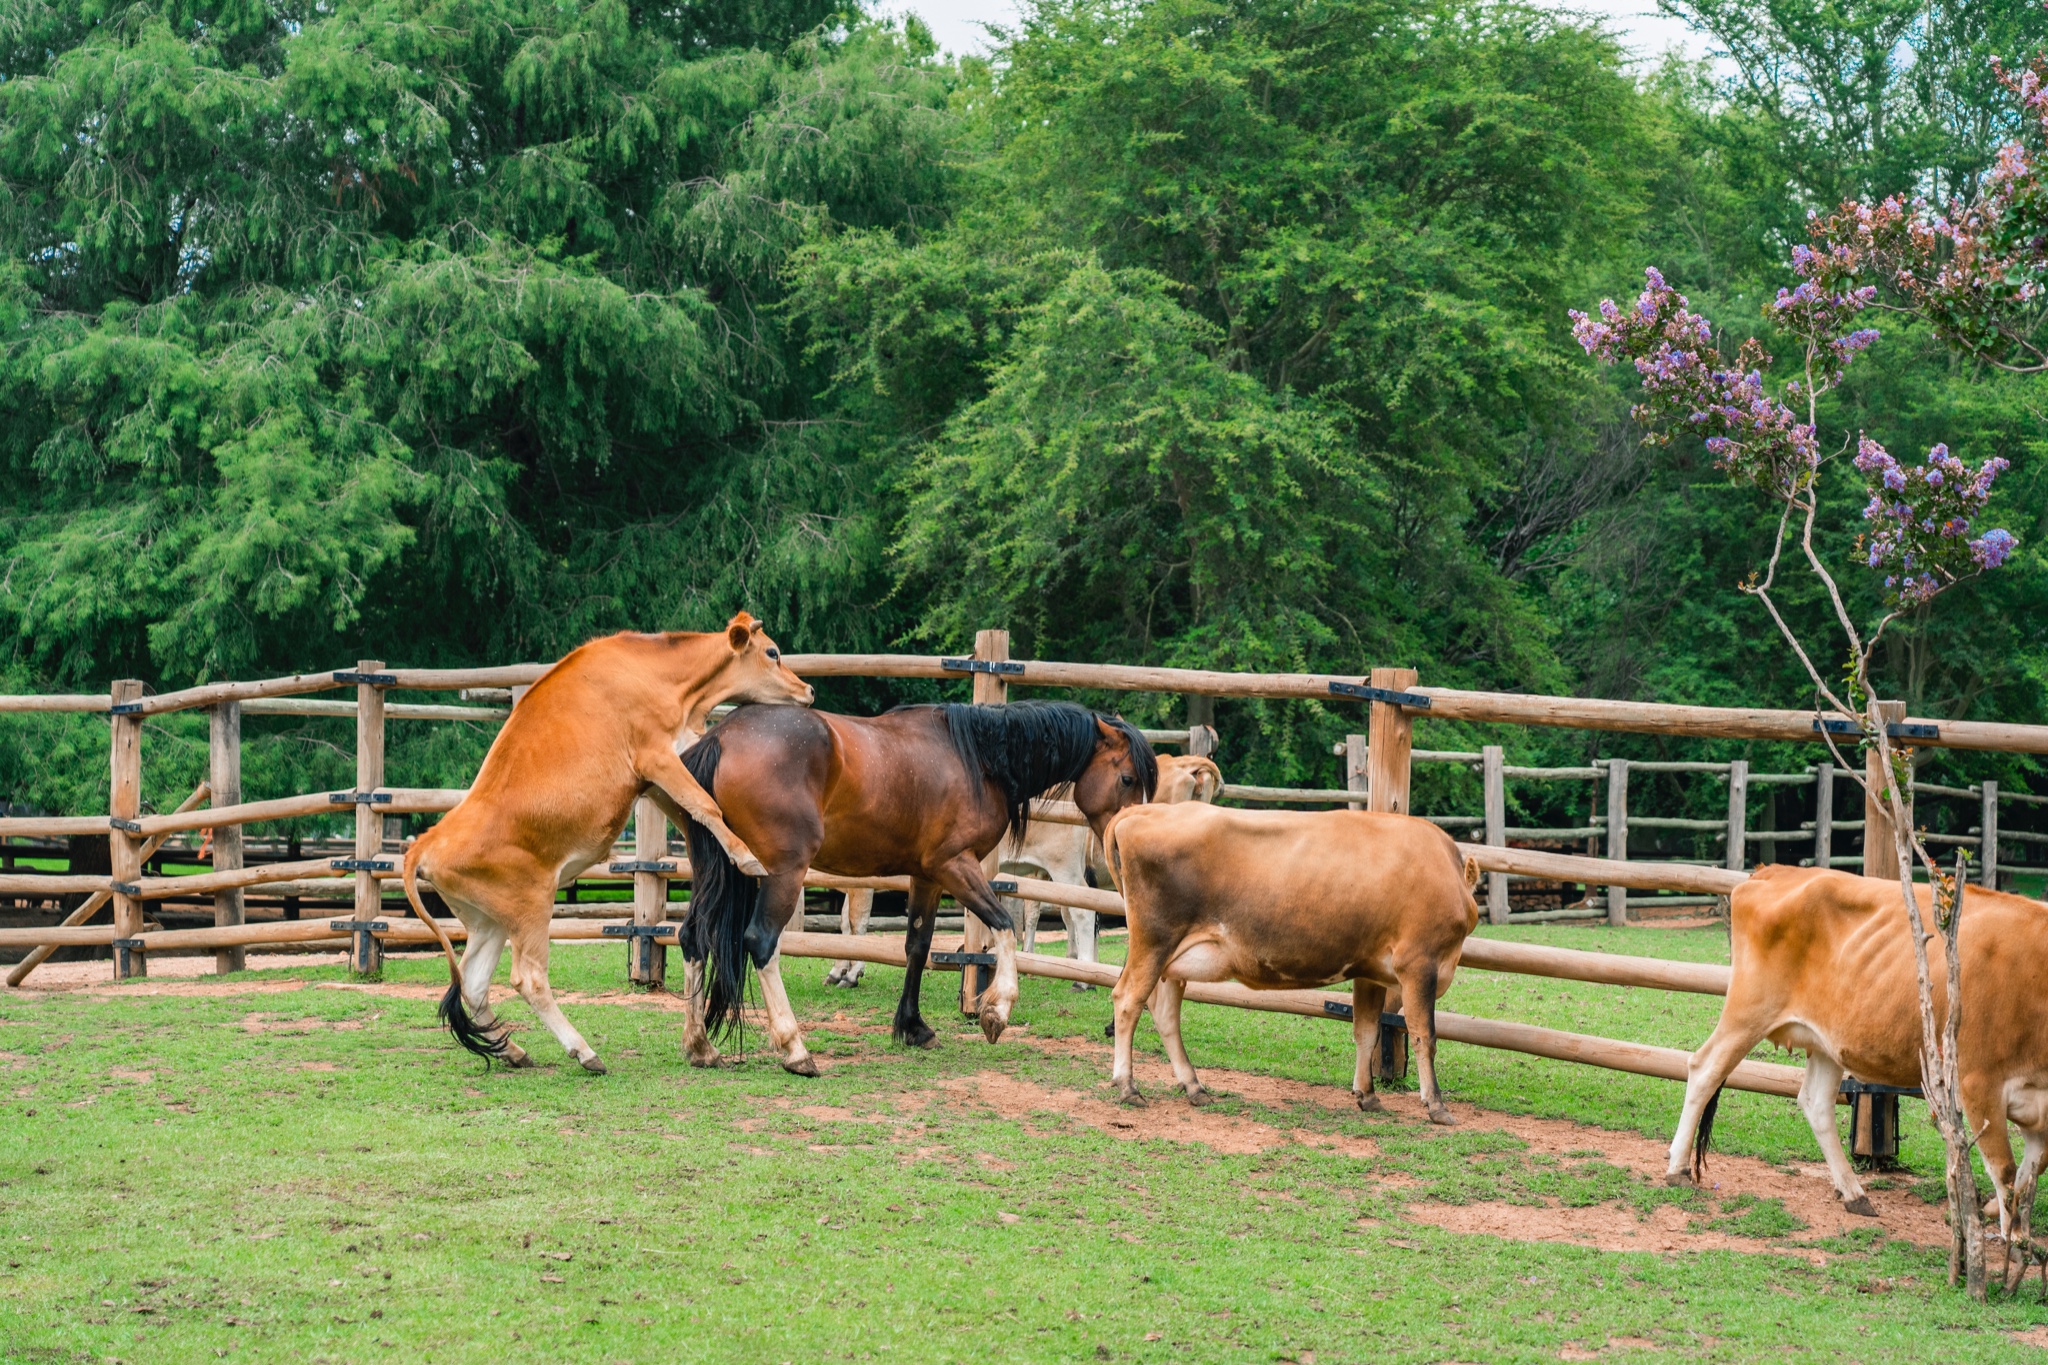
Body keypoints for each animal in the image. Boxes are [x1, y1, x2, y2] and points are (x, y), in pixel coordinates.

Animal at [399, 618, 815, 1080]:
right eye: (772, 652)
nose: (808, 689)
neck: (652, 670)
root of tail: (425, 843)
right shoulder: (655, 756)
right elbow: (705, 804)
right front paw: (745, 856)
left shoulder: (653, 777)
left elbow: (693, 807)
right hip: (531, 906)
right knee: (528, 978)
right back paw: (583, 1051)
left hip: (488, 920)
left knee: (473, 982)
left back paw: (514, 1051)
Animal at [671, 703, 1155, 1080]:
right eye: (1128, 778)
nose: (1129, 838)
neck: (977, 759)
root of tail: (722, 737)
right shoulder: (954, 865)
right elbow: (1002, 926)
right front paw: (997, 1010)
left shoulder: (927, 876)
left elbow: (918, 946)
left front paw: (912, 1027)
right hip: (782, 873)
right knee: (761, 943)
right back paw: (795, 1051)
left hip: (718, 871)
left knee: (693, 937)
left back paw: (701, 1047)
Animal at [1097, 806, 1482, 1129]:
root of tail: (1142, 810)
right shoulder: (1420, 963)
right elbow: (1424, 1035)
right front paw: (1436, 1105)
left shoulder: (1368, 969)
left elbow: (1366, 1031)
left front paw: (1367, 1094)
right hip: (1154, 942)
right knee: (1127, 1000)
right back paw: (1128, 1087)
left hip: (1172, 959)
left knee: (1164, 1013)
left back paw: (1194, 1087)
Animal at [1671, 875, 2048, 1252]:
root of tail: (1769, 873)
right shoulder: (1978, 1082)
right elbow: (2006, 1171)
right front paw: (2010, 1243)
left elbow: (2032, 1172)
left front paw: (2015, 1229)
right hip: (1749, 1010)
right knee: (1704, 1069)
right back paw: (1677, 1169)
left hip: (1825, 1041)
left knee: (1815, 1102)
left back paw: (1854, 1193)